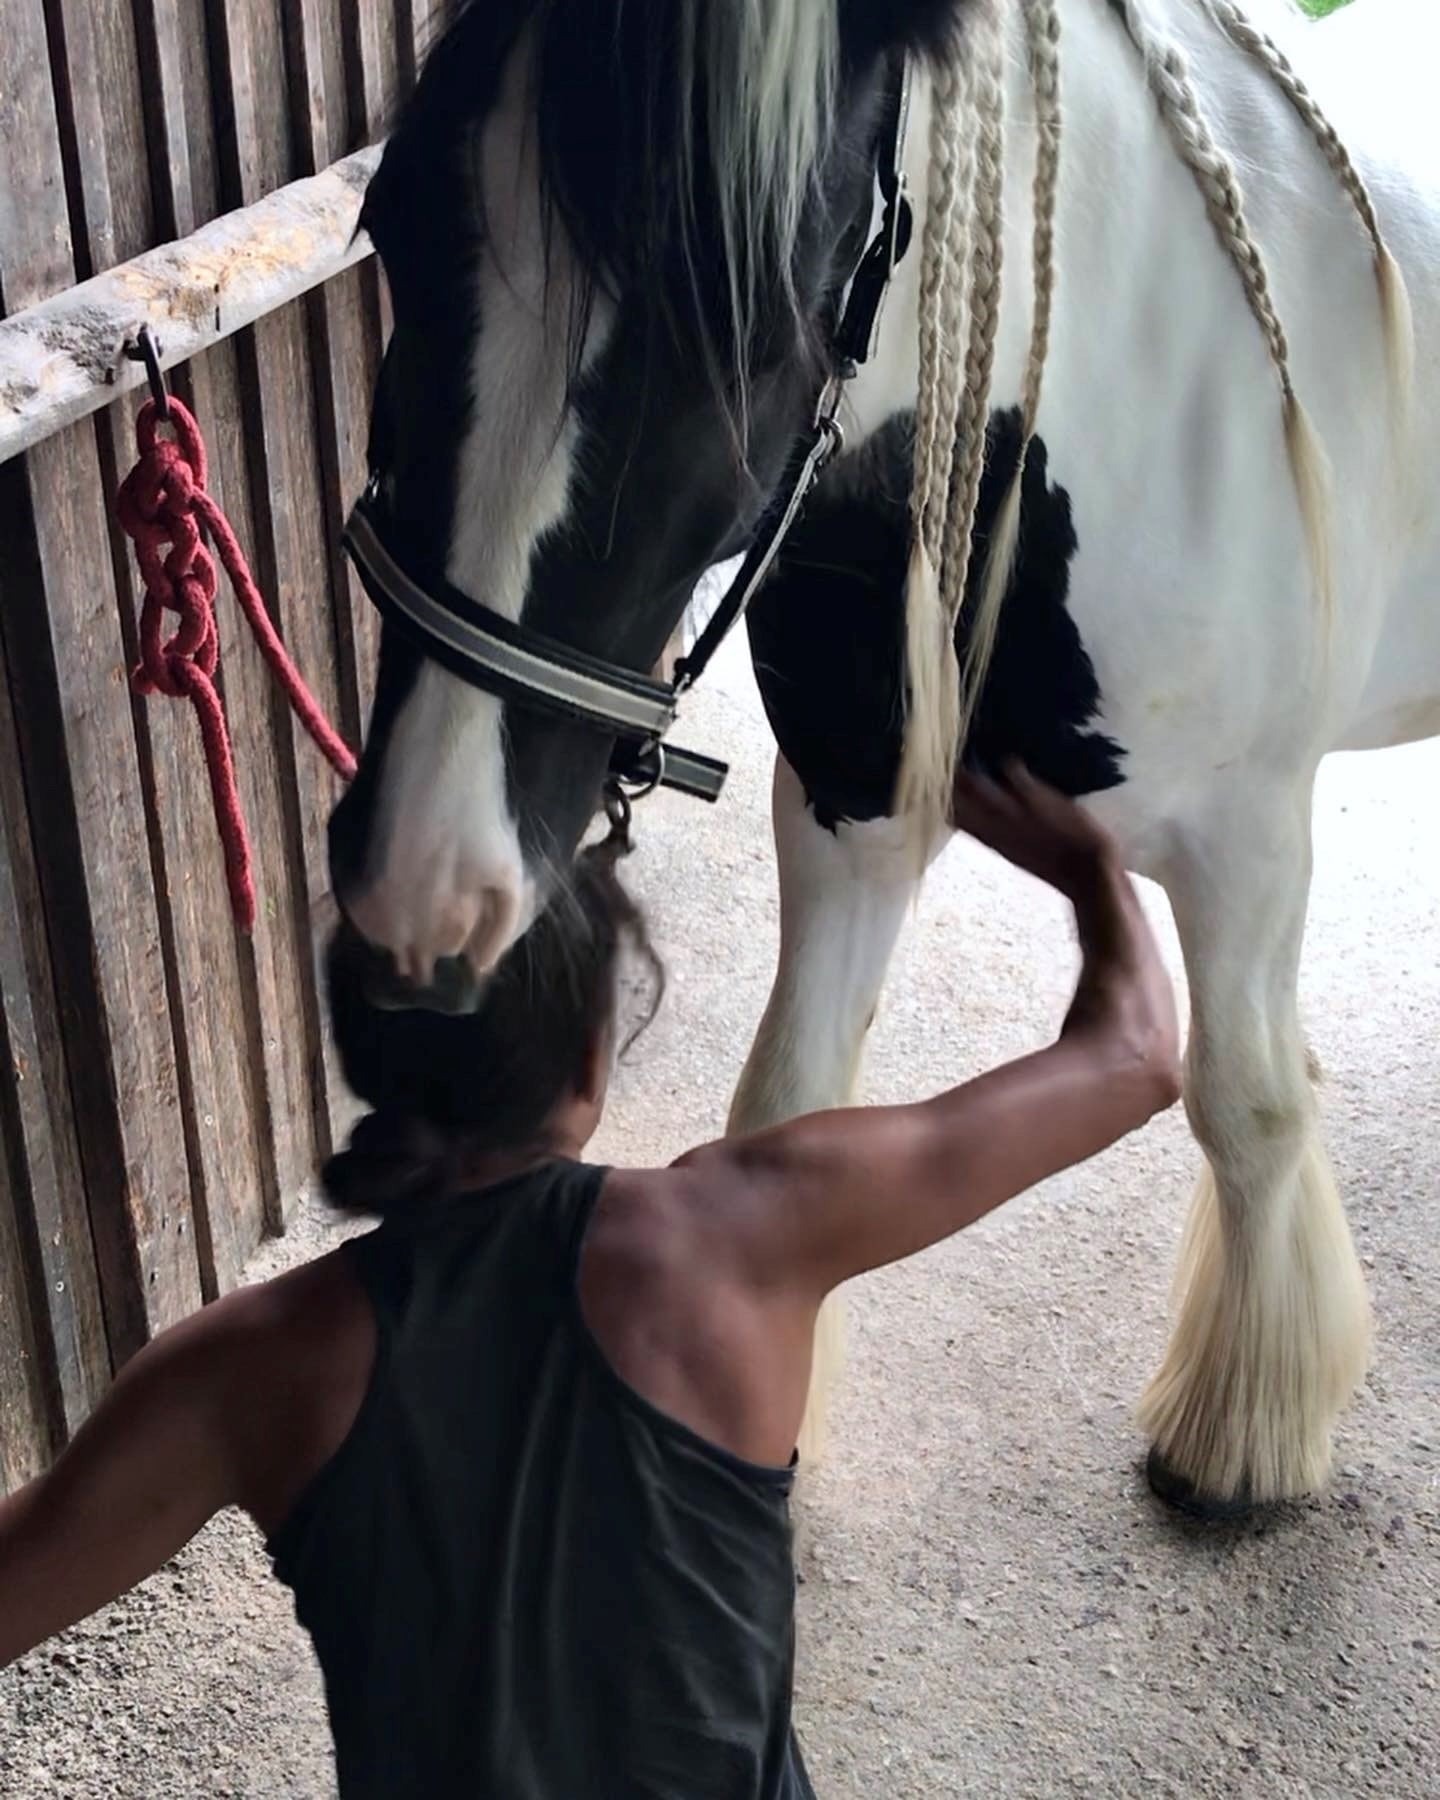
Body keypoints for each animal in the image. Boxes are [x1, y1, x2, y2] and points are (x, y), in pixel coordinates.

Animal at [329, 0, 1440, 1519]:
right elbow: (786, 1106)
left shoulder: (1251, 841)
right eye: (390, 221)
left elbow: (1248, 1105)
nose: (429, 892)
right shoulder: (848, 807)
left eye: (741, 328)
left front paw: (1241, 1439)